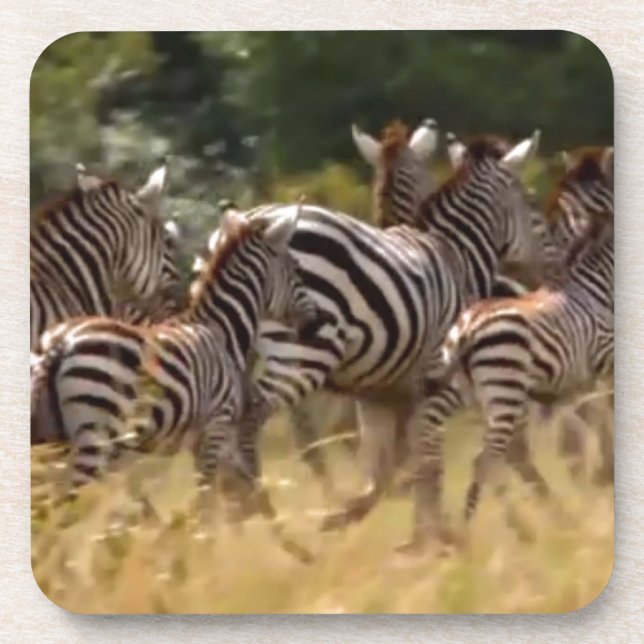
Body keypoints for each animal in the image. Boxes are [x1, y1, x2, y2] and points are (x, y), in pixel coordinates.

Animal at [30, 202, 327, 514]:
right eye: (297, 268)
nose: (318, 322)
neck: (221, 330)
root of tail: (59, 342)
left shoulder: (202, 438)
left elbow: (222, 492)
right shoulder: (216, 425)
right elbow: (207, 500)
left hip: (51, 437)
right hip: (94, 437)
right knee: (63, 507)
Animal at [233, 131, 550, 528]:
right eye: (531, 201)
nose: (541, 275)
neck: (456, 254)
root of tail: (255, 218)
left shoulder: (380, 394)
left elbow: (389, 464)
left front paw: (356, 513)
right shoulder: (438, 385)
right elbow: (424, 459)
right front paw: (434, 528)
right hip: (304, 353)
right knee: (257, 422)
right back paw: (262, 512)